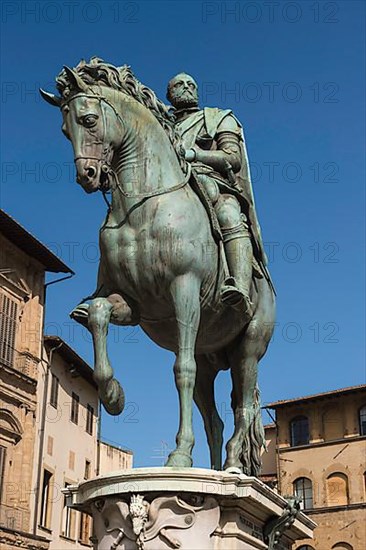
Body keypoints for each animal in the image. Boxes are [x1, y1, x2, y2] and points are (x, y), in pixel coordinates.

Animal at [40, 58, 274, 476]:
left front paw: (179, 455)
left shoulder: (184, 291)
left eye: (88, 120)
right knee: (215, 418)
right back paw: (213, 469)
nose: (88, 176)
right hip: (211, 357)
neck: (143, 205)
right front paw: (113, 395)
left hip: (248, 347)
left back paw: (232, 465)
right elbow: (97, 314)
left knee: (244, 407)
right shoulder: (135, 305)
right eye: (64, 130)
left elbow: (181, 370)